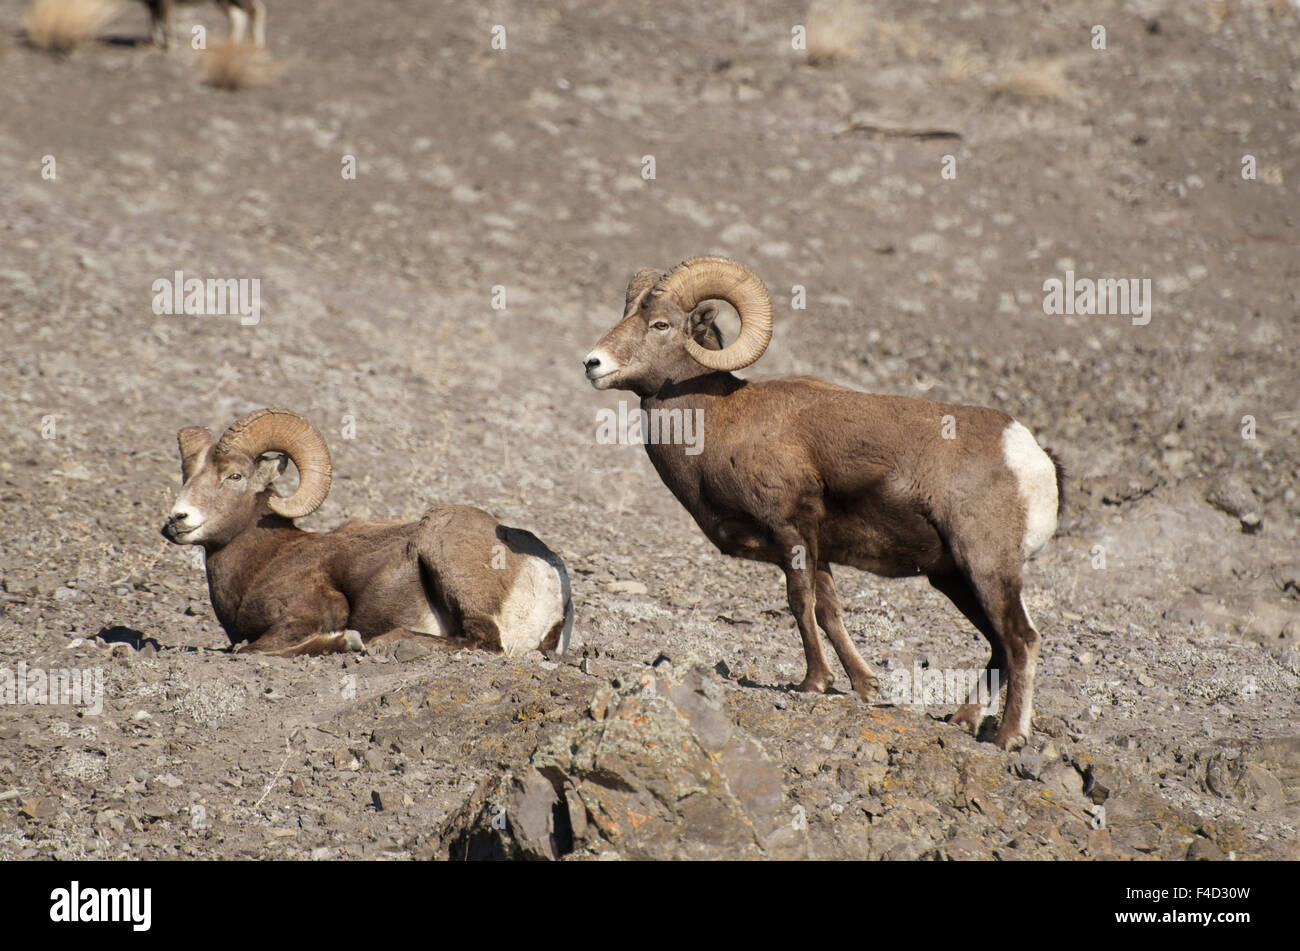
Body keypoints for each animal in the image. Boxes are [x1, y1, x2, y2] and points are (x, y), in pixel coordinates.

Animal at [161, 408, 573, 658]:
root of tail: (548, 576)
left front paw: (347, 640)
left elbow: (251, 649)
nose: (177, 519)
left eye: (235, 476)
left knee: (484, 643)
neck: (264, 562)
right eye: (187, 475)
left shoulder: (313, 610)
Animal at [583, 256, 1062, 750]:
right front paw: (865, 687)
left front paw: (812, 683)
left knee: (1020, 639)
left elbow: (800, 603)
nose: (593, 364)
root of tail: (1032, 458)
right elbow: (829, 611)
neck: (719, 421)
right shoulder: (819, 549)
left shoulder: (791, 533)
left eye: (660, 324)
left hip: (985, 567)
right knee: (998, 645)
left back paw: (1008, 737)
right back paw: (963, 720)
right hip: (953, 578)